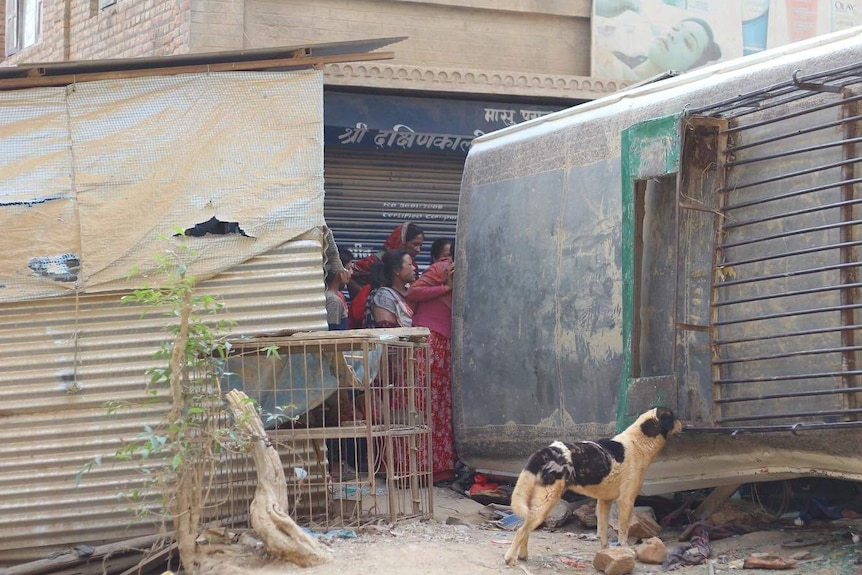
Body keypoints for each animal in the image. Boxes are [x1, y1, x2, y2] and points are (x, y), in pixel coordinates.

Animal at [506, 410, 680, 568]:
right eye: (675, 416)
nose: (684, 425)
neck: (639, 441)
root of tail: (546, 451)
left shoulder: (604, 502)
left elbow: (602, 533)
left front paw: (607, 554)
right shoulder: (626, 501)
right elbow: (623, 532)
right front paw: (625, 550)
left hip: (539, 504)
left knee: (526, 530)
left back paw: (523, 556)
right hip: (547, 502)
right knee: (521, 531)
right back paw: (510, 559)